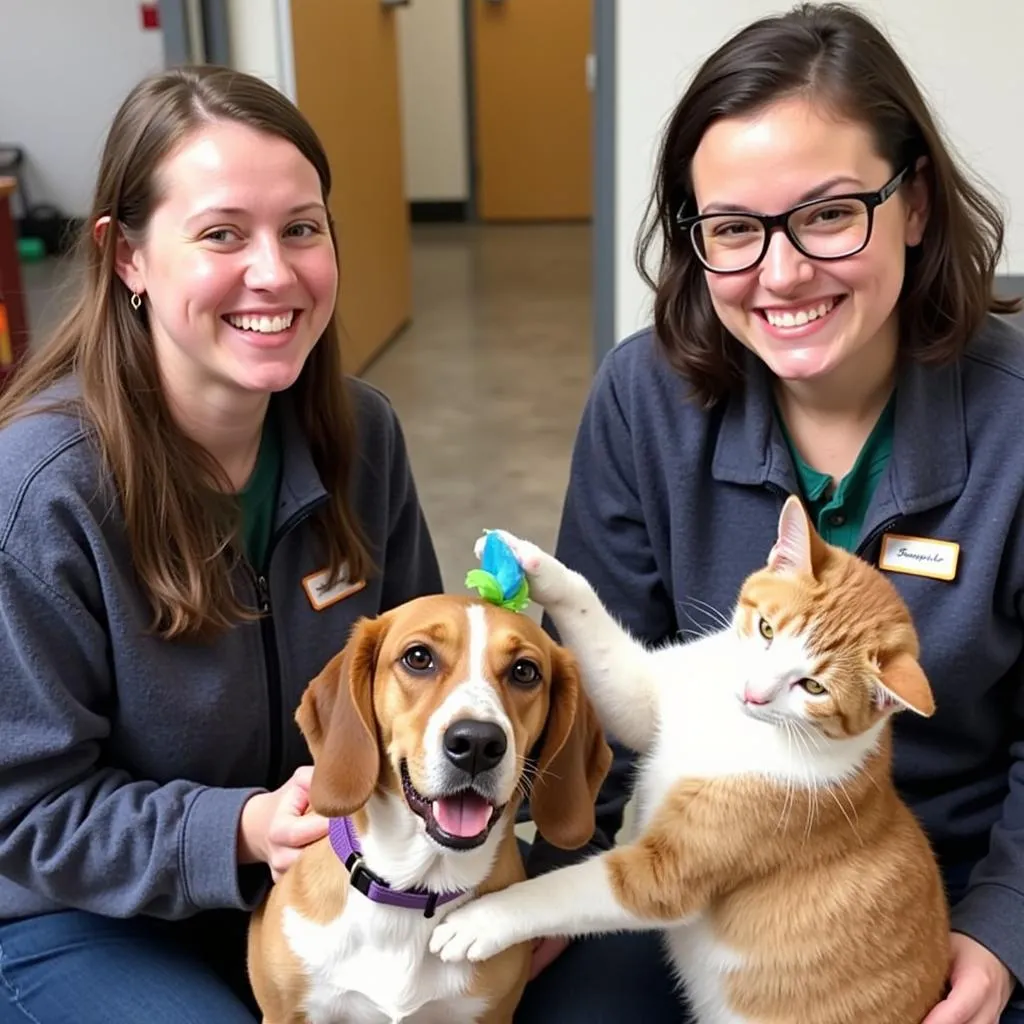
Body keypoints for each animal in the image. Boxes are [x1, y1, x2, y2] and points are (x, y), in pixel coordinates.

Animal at [428, 497, 946, 1024]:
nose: (753, 693)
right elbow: (592, 620)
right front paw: (529, 561)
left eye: (814, 687)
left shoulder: (662, 875)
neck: (734, 720)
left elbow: (560, 890)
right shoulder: (644, 696)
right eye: (766, 629)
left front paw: (483, 920)